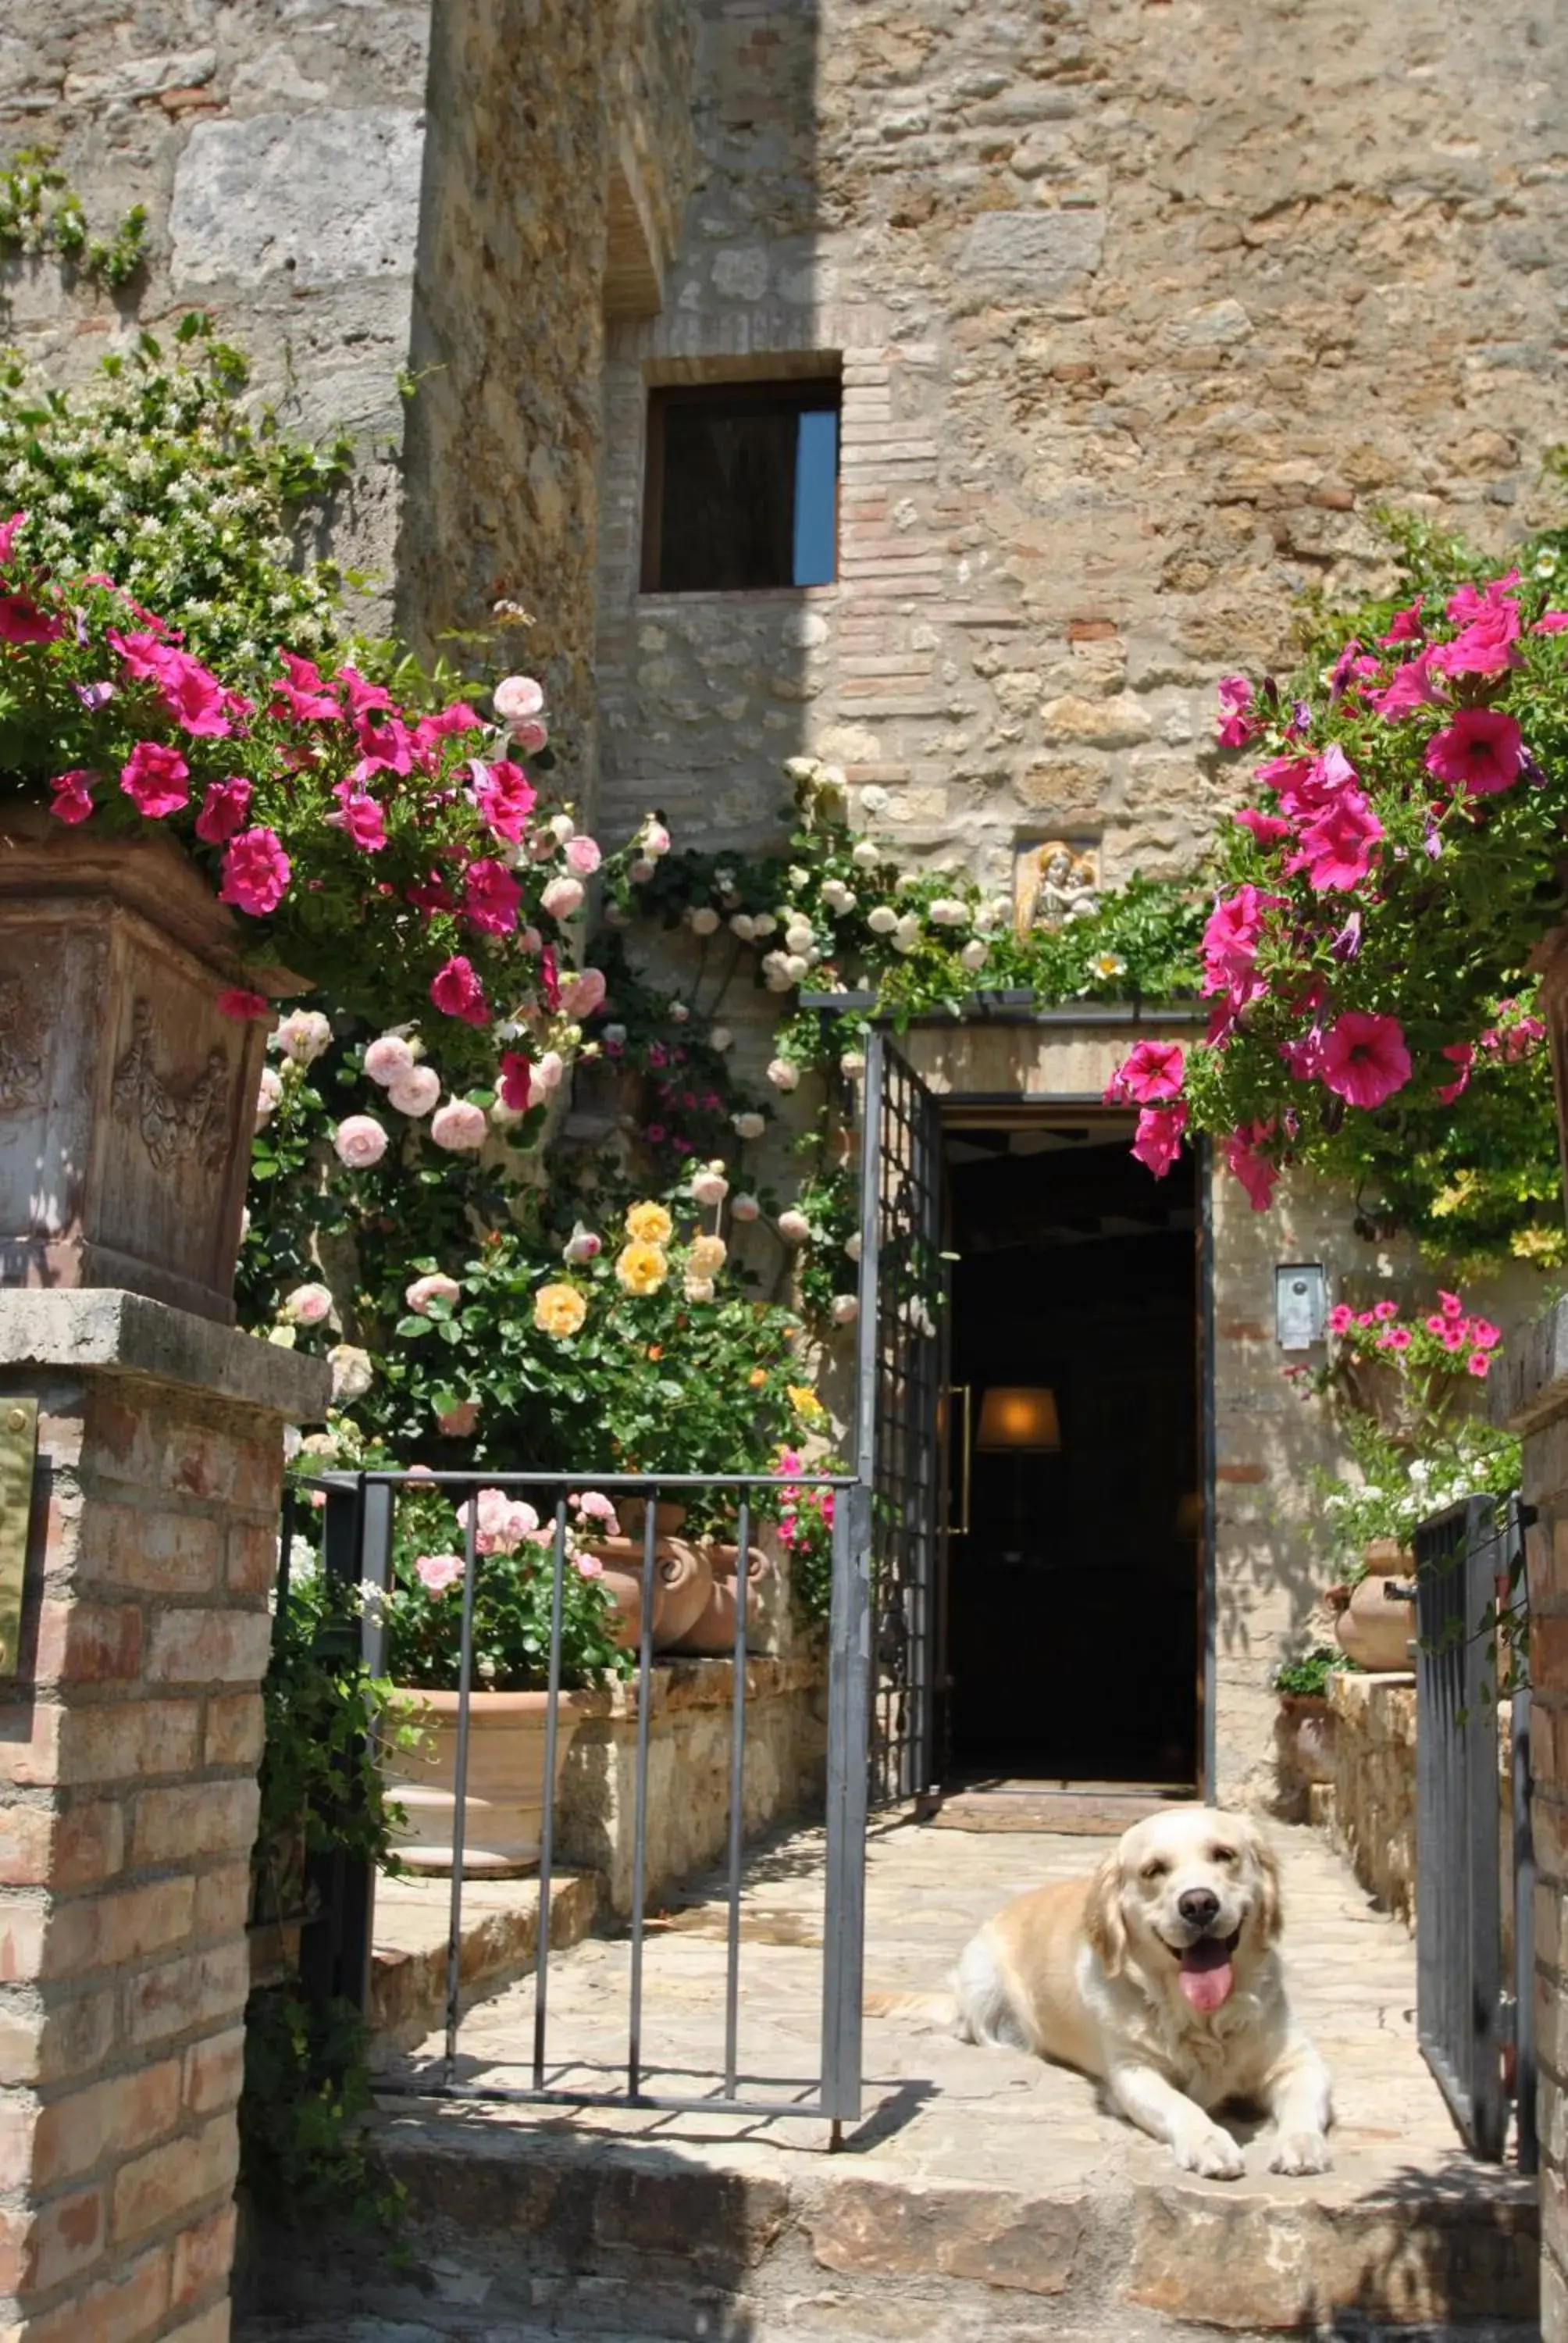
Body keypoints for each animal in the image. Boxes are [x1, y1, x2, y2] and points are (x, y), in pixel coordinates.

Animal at [946, 1809, 1331, 2174]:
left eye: (1224, 1855)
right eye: (1153, 1870)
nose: (1199, 1905)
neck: (1200, 2015)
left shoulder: (1298, 2061)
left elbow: (1303, 2104)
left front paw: (1302, 2144)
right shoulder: (1133, 2071)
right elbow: (1181, 2105)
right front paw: (1208, 2143)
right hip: (983, 1986)